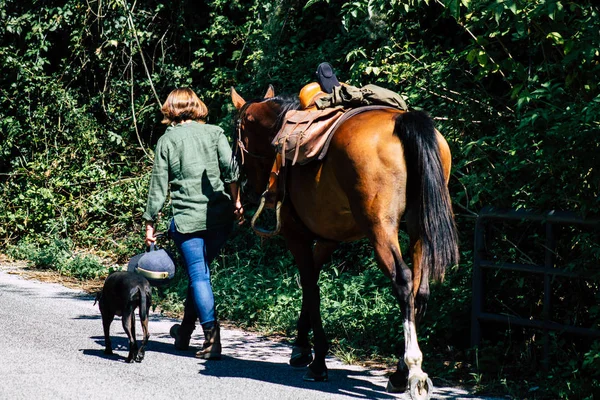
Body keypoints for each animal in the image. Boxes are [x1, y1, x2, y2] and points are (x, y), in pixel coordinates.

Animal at [232, 86, 458, 398]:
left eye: (237, 131)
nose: (248, 189)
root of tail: (403, 121)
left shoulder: (295, 234)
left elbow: (311, 288)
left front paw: (317, 362)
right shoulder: (328, 239)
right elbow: (311, 284)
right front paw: (301, 349)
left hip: (380, 228)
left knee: (402, 280)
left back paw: (413, 371)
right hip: (419, 226)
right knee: (419, 289)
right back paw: (399, 373)